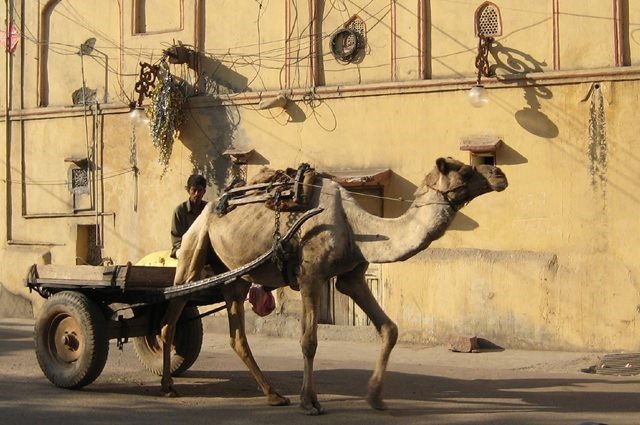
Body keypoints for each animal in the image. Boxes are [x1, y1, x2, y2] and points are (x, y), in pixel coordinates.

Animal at [161, 157, 510, 412]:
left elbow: (389, 329)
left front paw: (376, 397)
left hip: (236, 275)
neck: (356, 228)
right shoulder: (310, 277)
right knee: (172, 312)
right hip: (195, 246)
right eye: (465, 170)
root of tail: (212, 205)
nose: (499, 173)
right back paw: (168, 386)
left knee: (237, 335)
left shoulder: (351, 278)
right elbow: (309, 341)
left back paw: (274, 395)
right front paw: (310, 402)